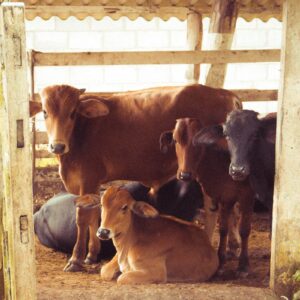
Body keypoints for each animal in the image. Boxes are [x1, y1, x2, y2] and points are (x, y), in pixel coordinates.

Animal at [158, 118, 254, 276]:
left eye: (198, 141)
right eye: (175, 140)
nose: (185, 175)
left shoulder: (247, 195)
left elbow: (244, 230)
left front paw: (243, 265)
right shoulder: (224, 196)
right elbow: (223, 228)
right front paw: (221, 262)